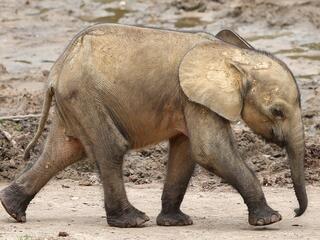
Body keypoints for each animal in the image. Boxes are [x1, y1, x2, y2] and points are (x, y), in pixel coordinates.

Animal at [0, 23, 308, 227]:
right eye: (277, 111)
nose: (295, 212)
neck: (231, 56)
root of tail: (57, 69)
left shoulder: (188, 100)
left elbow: (186, 153)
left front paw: (176, 222)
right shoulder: (193, 98)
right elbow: (210, 152)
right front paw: (271, 219)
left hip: (75, 100)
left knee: (63, 151)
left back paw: (12, 209)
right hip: (85, 96)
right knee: (110, 147)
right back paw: (133, 220)